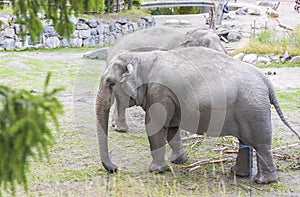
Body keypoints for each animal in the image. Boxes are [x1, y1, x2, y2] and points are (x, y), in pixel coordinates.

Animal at [96, 46, 300, 183]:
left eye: (110, 83)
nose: (115, 168)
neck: (141, 57)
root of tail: (266, 81)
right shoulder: (168, 97)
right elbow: (172, 127)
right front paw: (177, 161)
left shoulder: (160, 92)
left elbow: (155, 126)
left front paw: (156, 170)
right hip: (249, 110)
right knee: (246, 142)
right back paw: (237, 173)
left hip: (253, 109)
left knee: (260, 143)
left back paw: (263, 181)